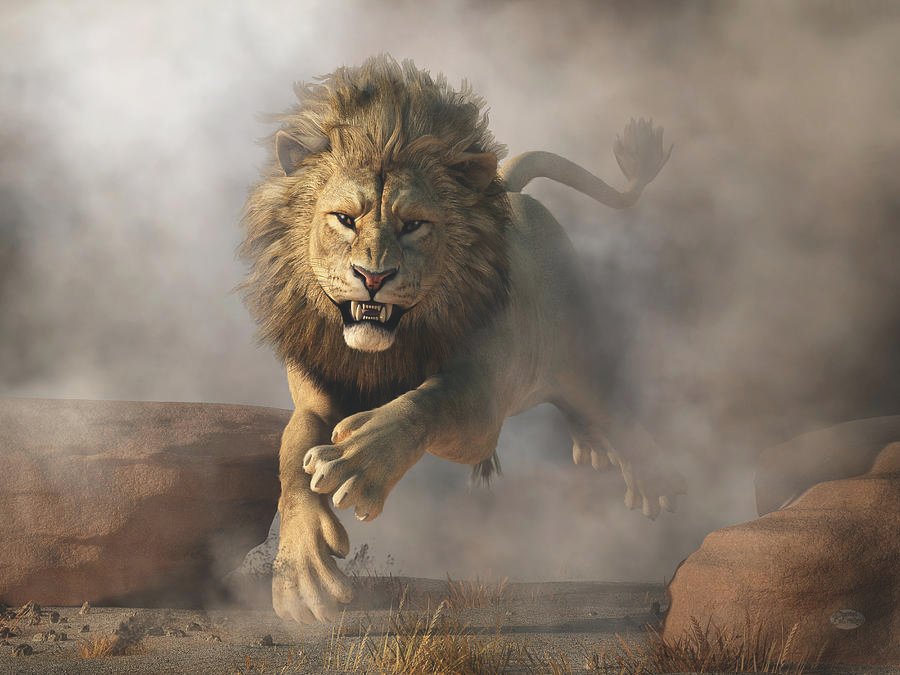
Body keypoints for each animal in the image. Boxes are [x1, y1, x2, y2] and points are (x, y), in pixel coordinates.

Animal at [238, 55, 679, 624]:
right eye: (344, 219)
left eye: (413, 225)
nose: (373, 276)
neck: (387, 349)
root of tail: (513, 191)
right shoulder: (315, 397)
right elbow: (290, 459)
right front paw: (301, 577)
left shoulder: (482, 406)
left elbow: (429, 402)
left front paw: (355, 462)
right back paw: (592, 447)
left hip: (581, 351)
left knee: (609, 400)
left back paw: (648, 478)